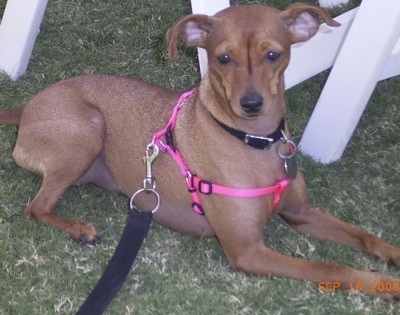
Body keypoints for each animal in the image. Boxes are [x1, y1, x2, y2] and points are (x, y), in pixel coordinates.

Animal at [0, 4, 400, 302]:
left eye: (274, 54)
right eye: (223, 58)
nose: (251, 103)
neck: (252, 140)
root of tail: (27, 108)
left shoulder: (300, 214)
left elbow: (364, 235)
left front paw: (392, 255)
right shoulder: (247, 252)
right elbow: (330, 268)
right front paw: (380, 283)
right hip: (88, 130)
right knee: (37, 207)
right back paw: (78, 229)